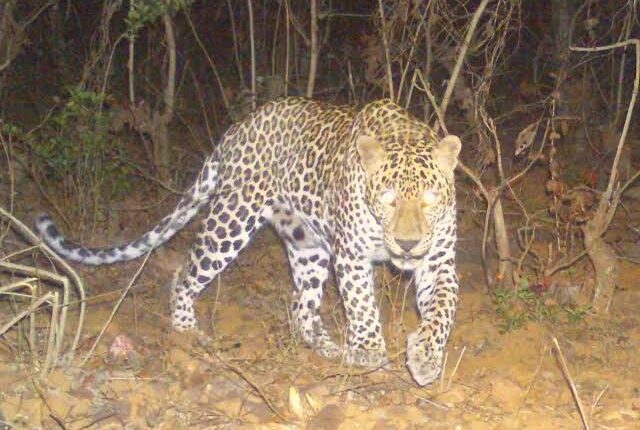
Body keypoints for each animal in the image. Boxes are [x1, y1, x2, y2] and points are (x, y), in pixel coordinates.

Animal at [36, 97, 461, 386]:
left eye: (430, 199)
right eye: (387, 199)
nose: (407, 244)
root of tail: (239, 127)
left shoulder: (438, 261)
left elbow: (442, 309)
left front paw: (424, 357)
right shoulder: (352, 255)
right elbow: (362, 305)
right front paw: (371, 351)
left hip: (307, 246)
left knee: (300, 306)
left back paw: (328, 347)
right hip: (232, 219)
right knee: (185, 272)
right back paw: (186, 331)